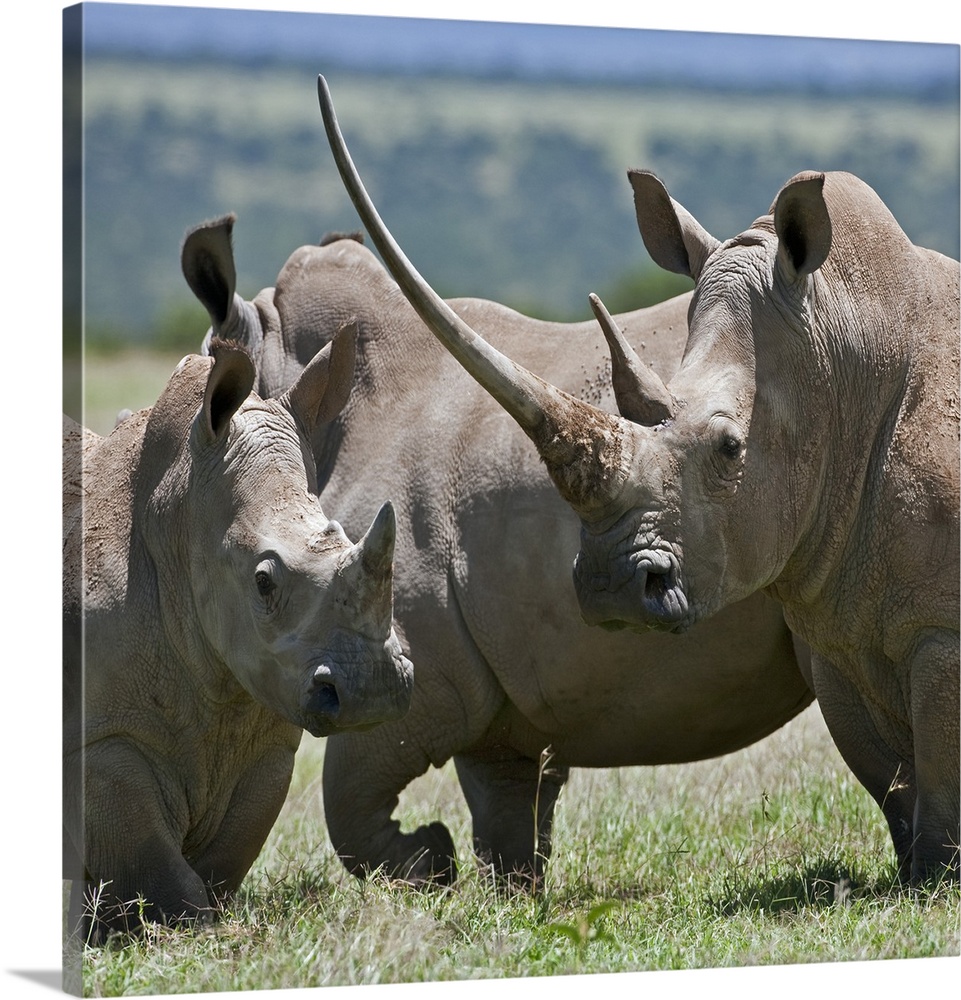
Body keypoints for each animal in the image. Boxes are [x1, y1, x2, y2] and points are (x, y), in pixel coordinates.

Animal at [60, 334, 412, 936]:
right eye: (264, 582)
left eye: (345, 536)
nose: (375, 690)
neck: (176, 519)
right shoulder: (99, 738)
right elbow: (152, 861)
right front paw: (187, 930)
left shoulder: (266, 722)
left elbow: (226, 854)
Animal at [318, 76, 956, 884]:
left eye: (729, 447)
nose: (613, 589)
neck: (846, 360)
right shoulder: (839, 611)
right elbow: (892, 775)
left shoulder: (939, 629)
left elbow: (940, 764)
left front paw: (937, 879)